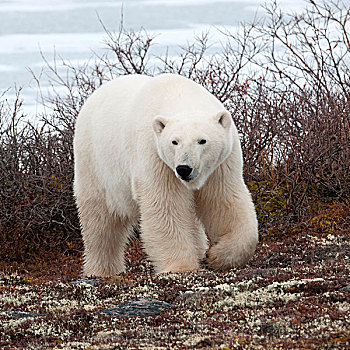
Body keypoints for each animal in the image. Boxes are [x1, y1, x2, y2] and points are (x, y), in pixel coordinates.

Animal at [74, 74, 258, 276]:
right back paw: (101, 269)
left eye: (202, 140)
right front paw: (181, 266)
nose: (184, 168)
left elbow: (223, 201)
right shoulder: (155, 155)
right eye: (174, 142)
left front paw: (216, 256)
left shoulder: (221, 164)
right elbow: (166, 205)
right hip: (95, 164)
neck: (179, 95)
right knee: (100, 220)